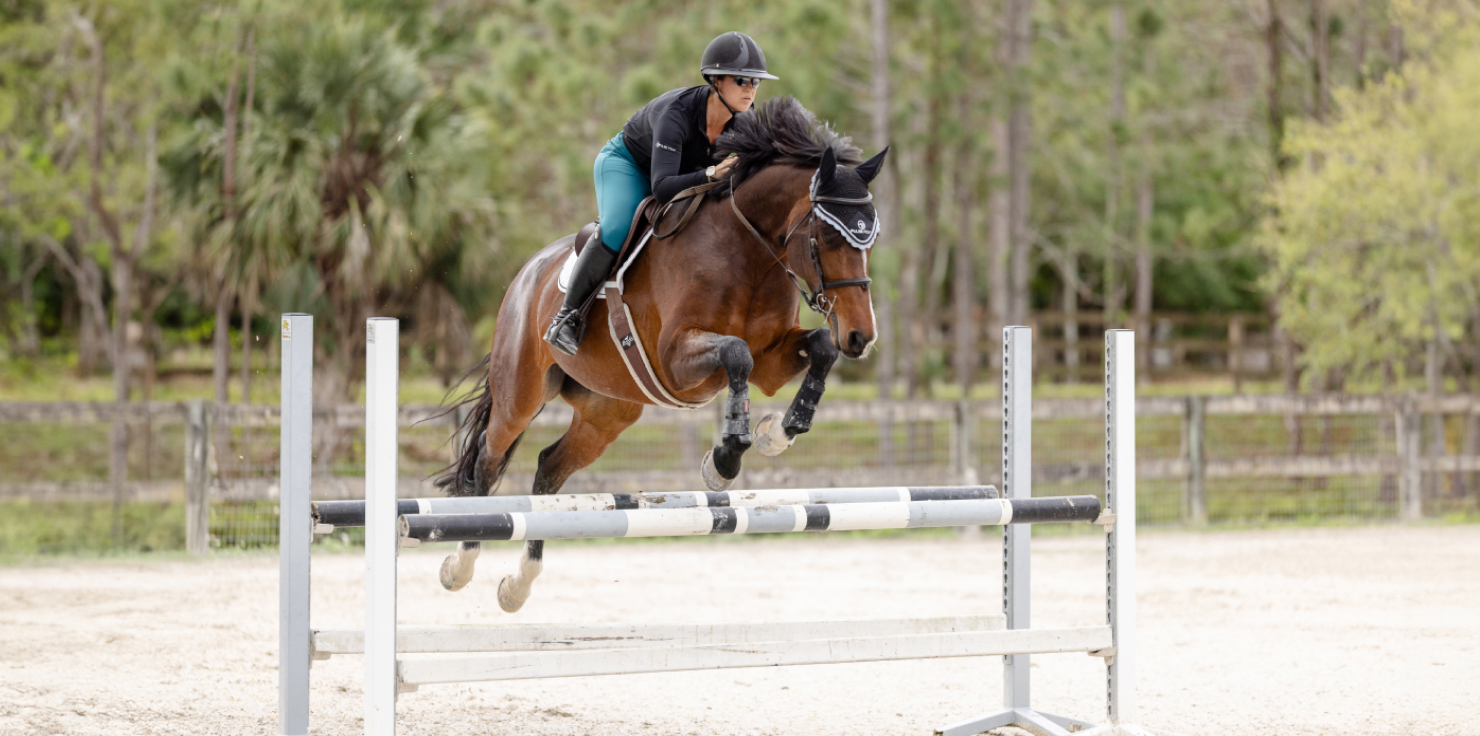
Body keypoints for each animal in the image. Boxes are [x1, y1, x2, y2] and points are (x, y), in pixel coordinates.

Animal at [432, 99, 882, 613]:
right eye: (828, 238)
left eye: (871, 239)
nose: (861, 336)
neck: (749, 252)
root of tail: (528, 273)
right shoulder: (677, 358)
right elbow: (736, 354)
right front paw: (724, 459)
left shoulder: (772, 359)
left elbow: (816, 348)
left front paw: (776, 434)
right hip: (520, 396)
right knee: (486, 462)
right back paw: (460, 566)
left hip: (608, 412)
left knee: (548, 468)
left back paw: (518, 584)